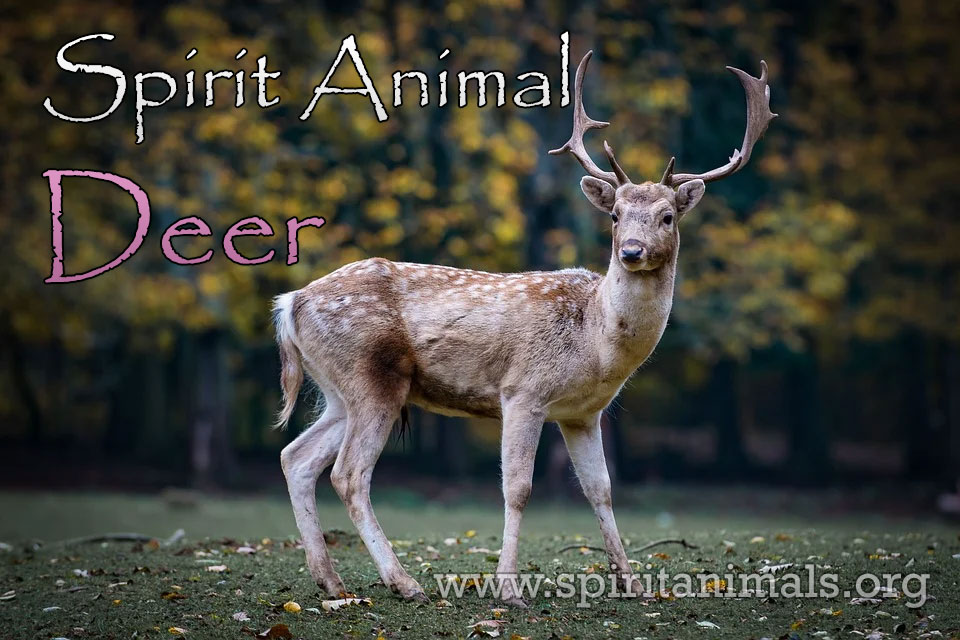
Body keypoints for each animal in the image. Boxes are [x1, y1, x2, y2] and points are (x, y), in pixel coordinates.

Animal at [273, 50, 775, 606]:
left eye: (667, 216)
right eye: (616, 215)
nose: (631, 251)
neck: (595, 342)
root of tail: (290, 303)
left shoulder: (582, 414)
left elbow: (601, 489)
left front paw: (632, 584)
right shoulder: (522, 391)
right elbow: (518, 488)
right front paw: (509, 588)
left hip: (337, 389)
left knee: (296, 457)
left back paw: (330, 581)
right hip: (371, 376)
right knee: (348, 474)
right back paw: (404, 583)